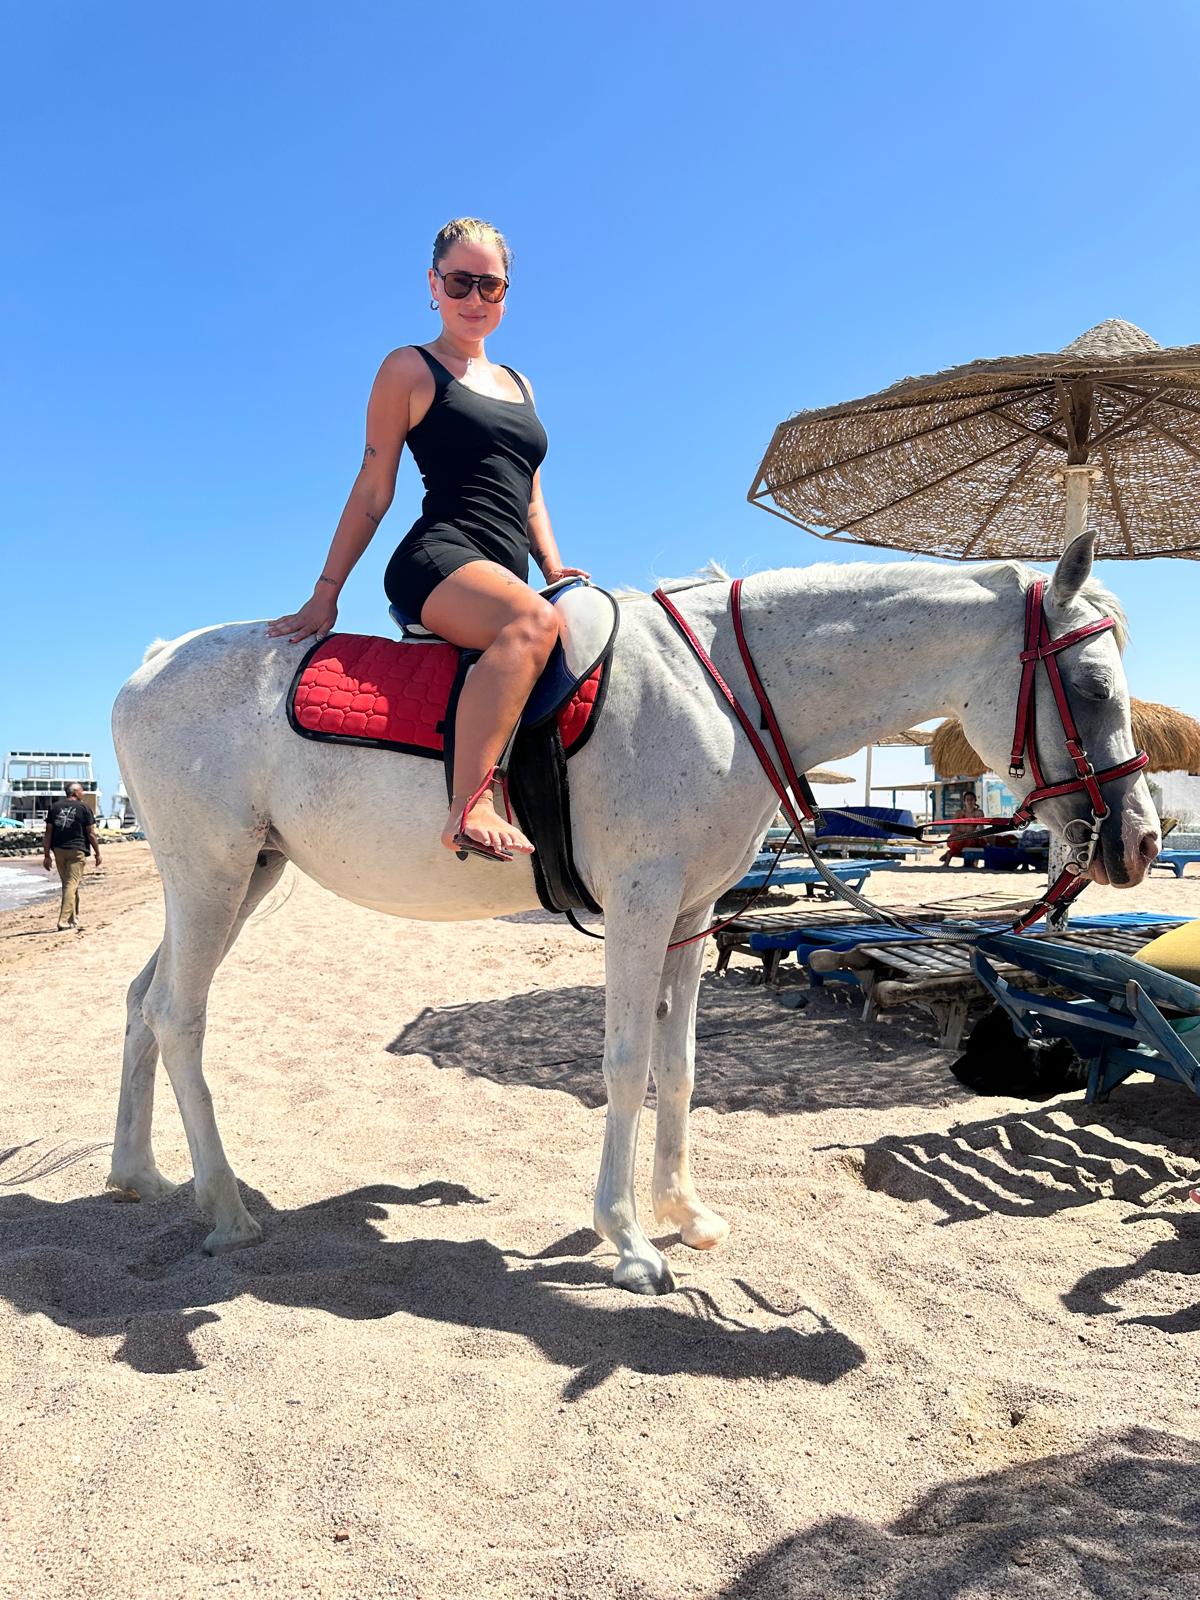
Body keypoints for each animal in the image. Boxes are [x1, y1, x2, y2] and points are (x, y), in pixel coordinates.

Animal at [109, 533, 1159, 1293]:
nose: (1140, 842)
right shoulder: (640, 905)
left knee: (140, 1002)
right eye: (1091, 685)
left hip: (243, 879)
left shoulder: (691, 914)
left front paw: (684, 1214)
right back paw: (225, 1206)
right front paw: (626, 1240)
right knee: (180, 1016)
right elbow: (622, 1063)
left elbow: (680, 1067)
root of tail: (152, 662)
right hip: (210, 875)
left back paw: (139, 1175)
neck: (722, 693)